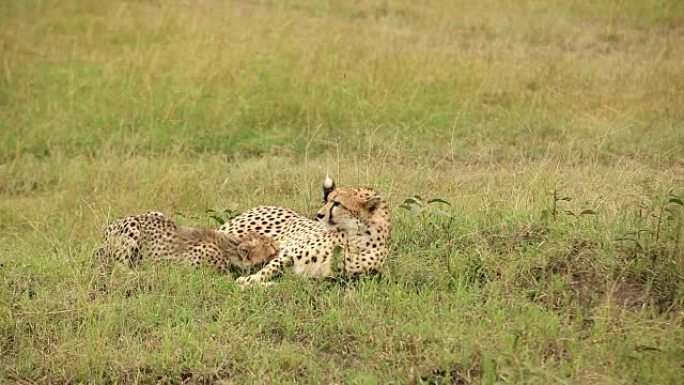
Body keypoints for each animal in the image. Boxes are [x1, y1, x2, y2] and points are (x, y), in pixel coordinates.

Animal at [219, 176, 390, 286]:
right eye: (328, 200)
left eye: (337, 203)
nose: (319, 215)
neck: (356, 238)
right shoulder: (288, 253)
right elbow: (269, 268)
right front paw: (249, 280)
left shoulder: (328, 277)